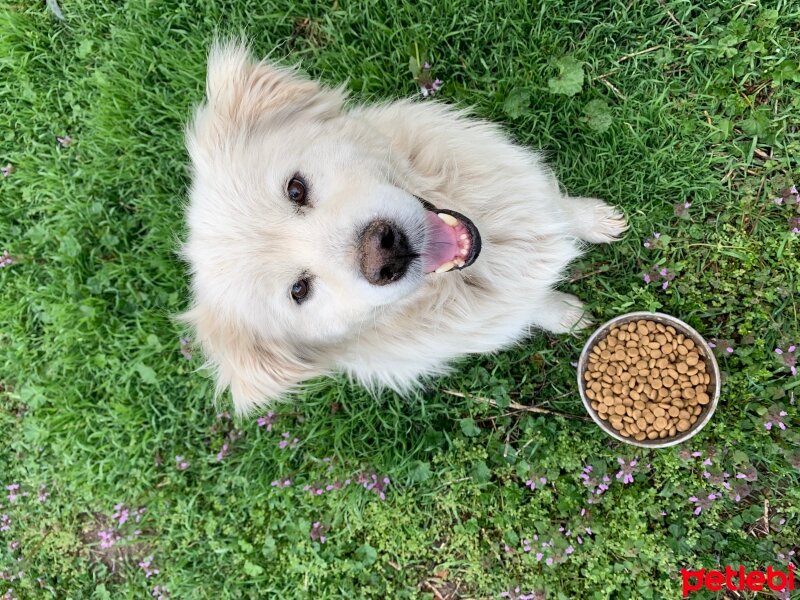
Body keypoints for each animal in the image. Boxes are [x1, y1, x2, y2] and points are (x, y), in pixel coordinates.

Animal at [184, 42, 628, 414]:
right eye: (299, 291)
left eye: (295, 189)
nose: (386, 251)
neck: (495, 248)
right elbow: (537, 307)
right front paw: (568, 316)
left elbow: (560, 207)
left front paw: (598, 219)